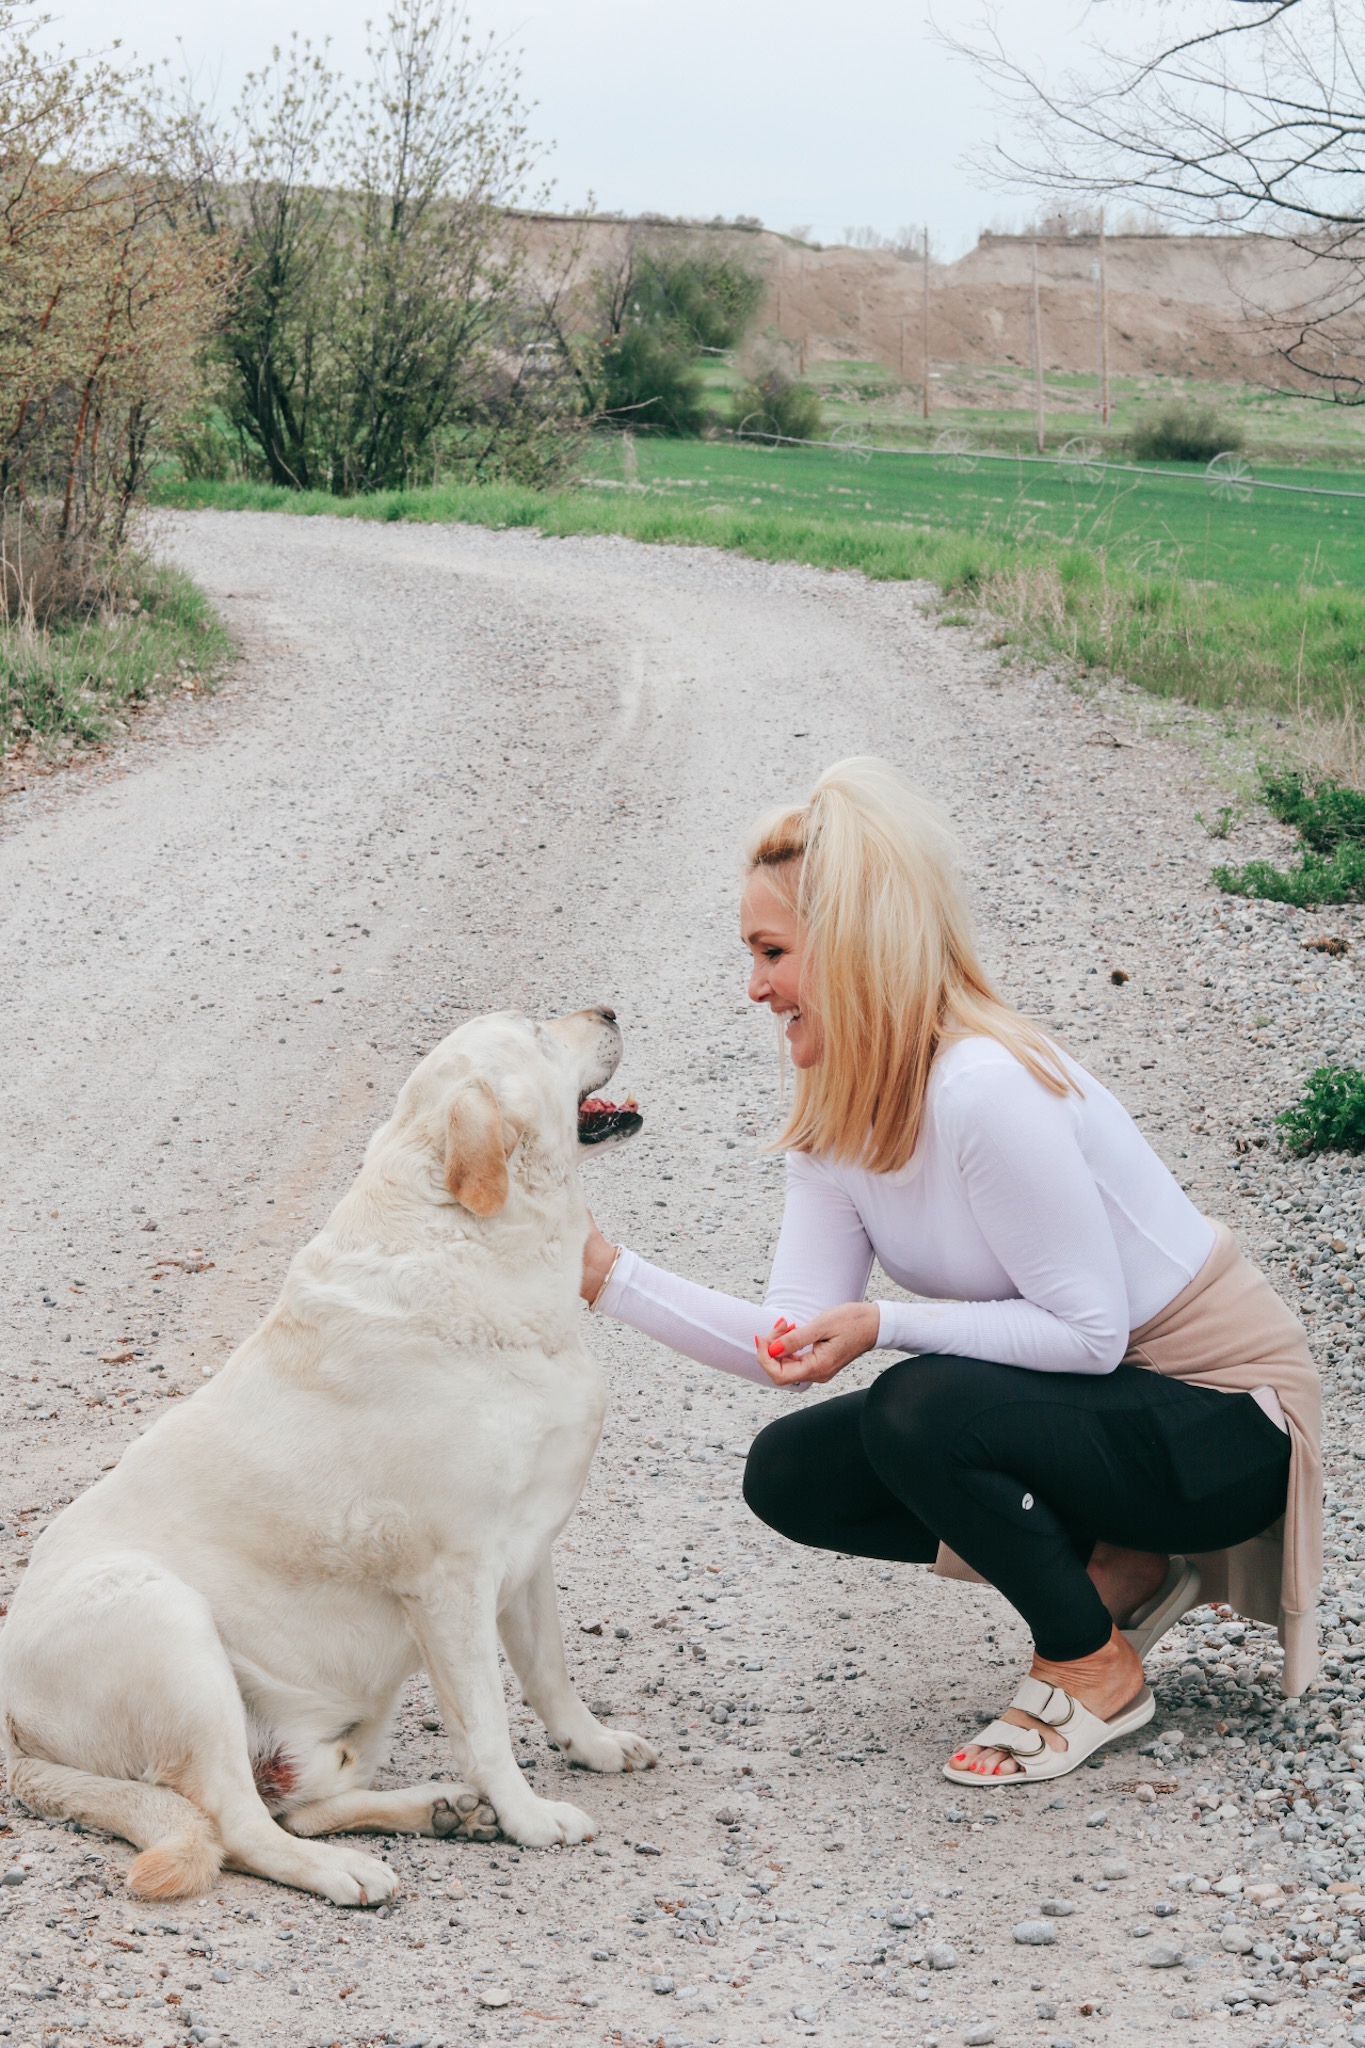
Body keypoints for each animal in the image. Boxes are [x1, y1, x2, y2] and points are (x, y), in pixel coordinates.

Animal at [0, 1007, 654, 1900]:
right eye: (533, 1030)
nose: (607, 1013)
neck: (476, 1240)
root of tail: (10, 1726)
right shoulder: (449, 1580)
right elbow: (484, 1723)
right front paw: (528, 1817)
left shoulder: (526, 1554)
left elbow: (549, 1674)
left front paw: (588, 1746)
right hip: (170, 1627)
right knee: (239, 1826)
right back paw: (346, 1868)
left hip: (343, 1713)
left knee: (297, 1807)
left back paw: (439, 1812)